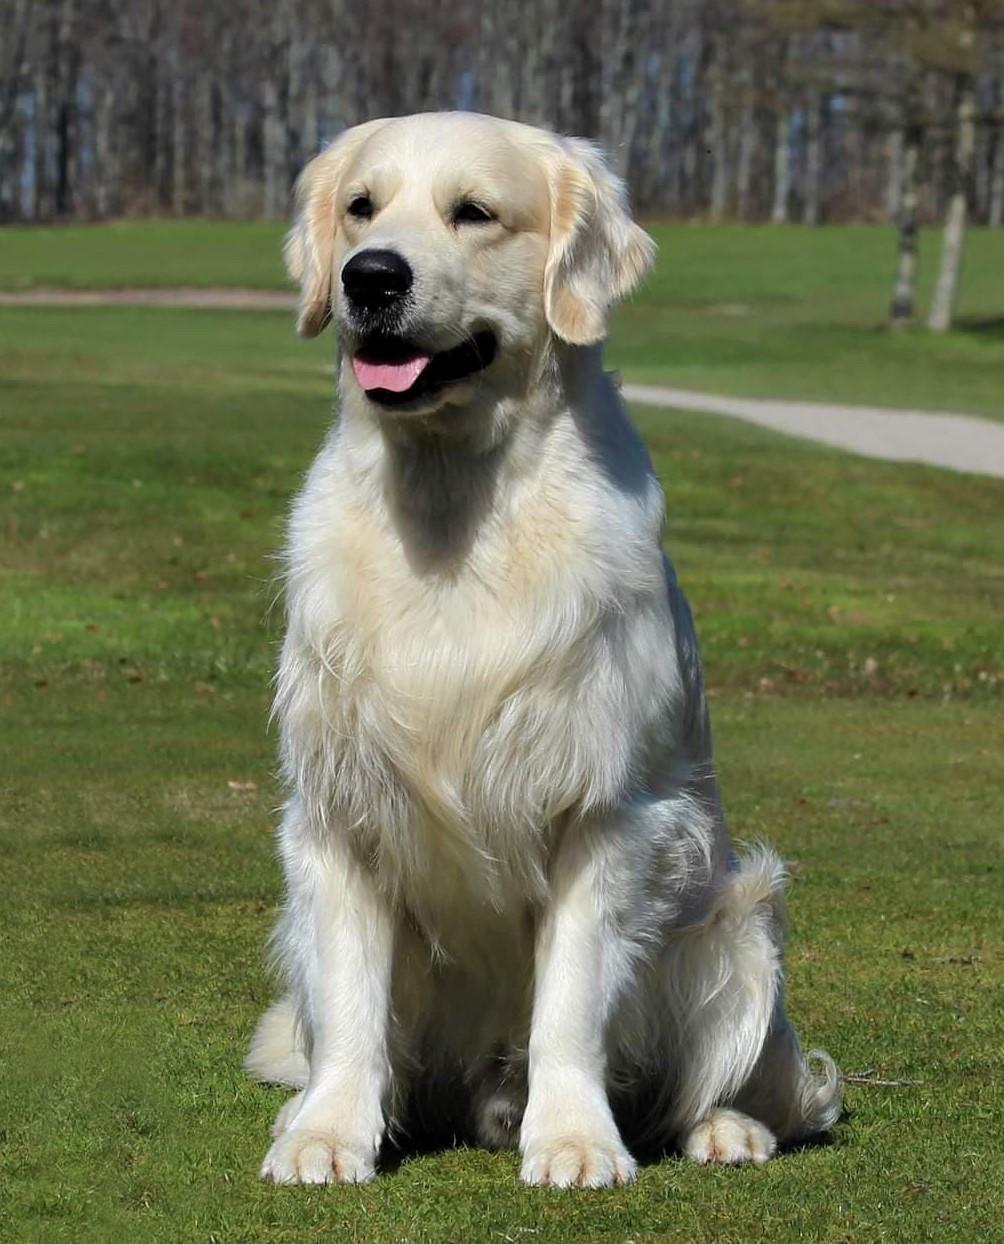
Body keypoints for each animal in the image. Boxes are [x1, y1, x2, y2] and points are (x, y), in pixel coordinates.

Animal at [245, 114, 841, 1184]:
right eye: (360, 207)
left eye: (474, 212)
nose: (370, 276)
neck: (452, 504)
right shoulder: (340, 808)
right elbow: (351, 1006)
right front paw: (326, 1132)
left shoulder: (605, 810)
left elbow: (569, 1000)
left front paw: (571, 1139)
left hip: (740, 924)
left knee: (727, 1079)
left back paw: (725, 1127)